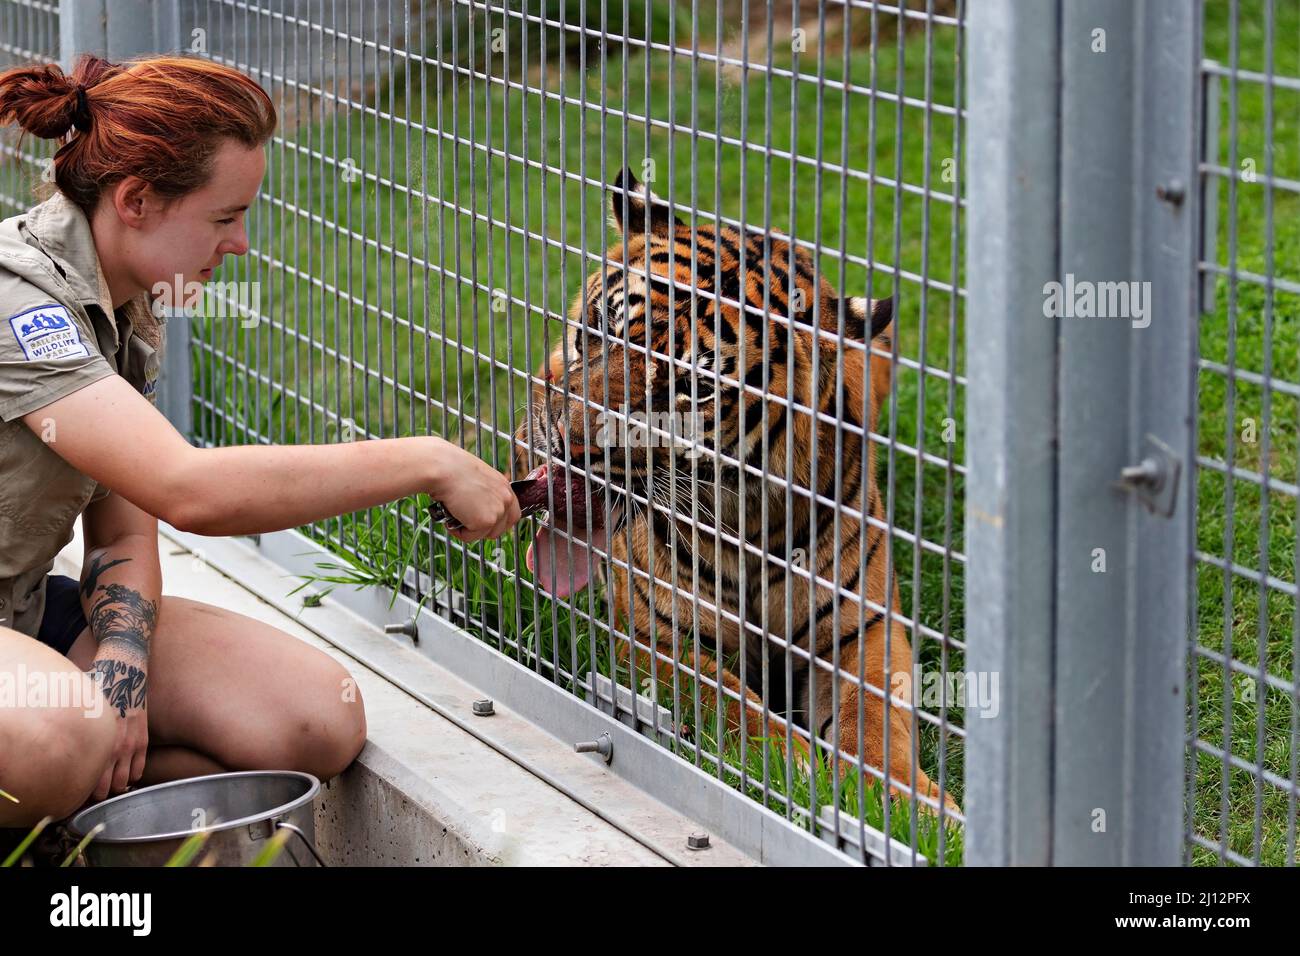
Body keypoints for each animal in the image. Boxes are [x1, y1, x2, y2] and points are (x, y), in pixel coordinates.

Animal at [514, 164, 956, 816]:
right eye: (598, 329)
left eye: (692, 389)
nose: (558, 440)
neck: (749, 517)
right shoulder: (652, 636)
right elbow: (726, 699)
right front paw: (795, 765)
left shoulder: (863, 631)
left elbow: (877, 719)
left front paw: (914, 809)